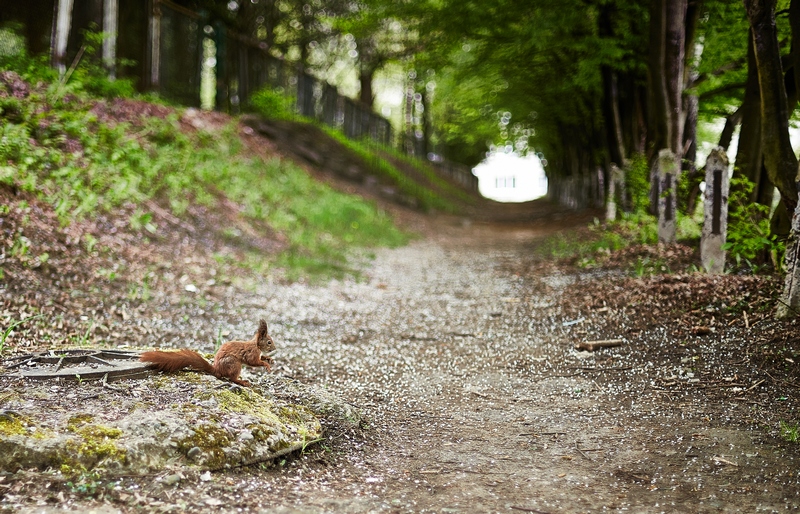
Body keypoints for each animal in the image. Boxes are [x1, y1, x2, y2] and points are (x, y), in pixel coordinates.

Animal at [138, 318, 276, 386]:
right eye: (269, 342)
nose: (274, 349)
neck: (256, 345)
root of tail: (217, 370)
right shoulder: (251, 353)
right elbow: (253, 362)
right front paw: (267, 365)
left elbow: (261, 358)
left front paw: (269, 359)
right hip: (234, 363)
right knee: (232, 378)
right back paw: (242, 382)